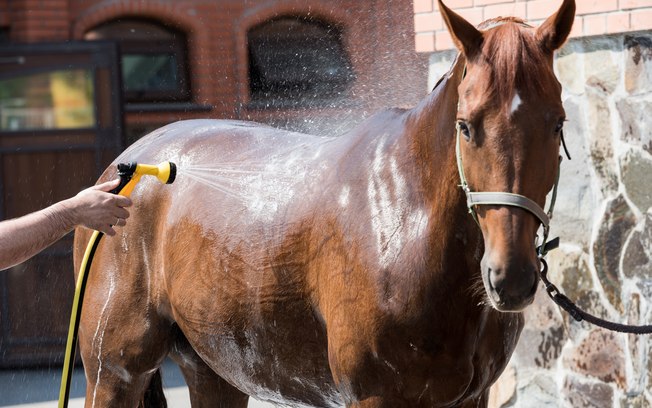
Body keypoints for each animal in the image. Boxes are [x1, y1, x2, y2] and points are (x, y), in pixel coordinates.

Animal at [74, 1, 576, 406]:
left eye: (557, 123)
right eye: (466, 126)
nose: (510, 277)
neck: (406, 225)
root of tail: (126, 168)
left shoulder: (471, 397)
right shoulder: (374, 396)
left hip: (214, 371)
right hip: (113, 372)